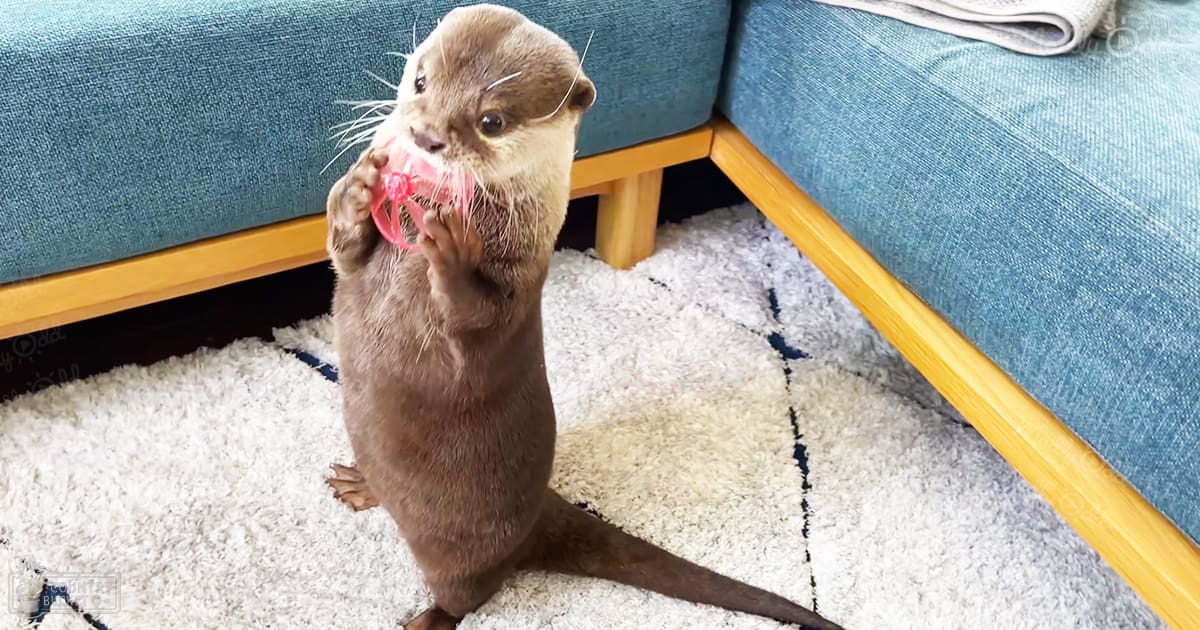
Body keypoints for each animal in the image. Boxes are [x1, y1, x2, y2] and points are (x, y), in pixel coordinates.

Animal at [323, 5, 843, 629]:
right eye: (421, 81)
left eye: (491, 120)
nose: (424, 136)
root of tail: (536, 517)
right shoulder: (359, 263)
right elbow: (344, 252)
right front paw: (356, 187)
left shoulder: (516, 294)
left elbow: (478, 319)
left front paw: (451, 249)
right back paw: (362, 484)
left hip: (462, 549)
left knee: (471, 592)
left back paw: (427, 617)